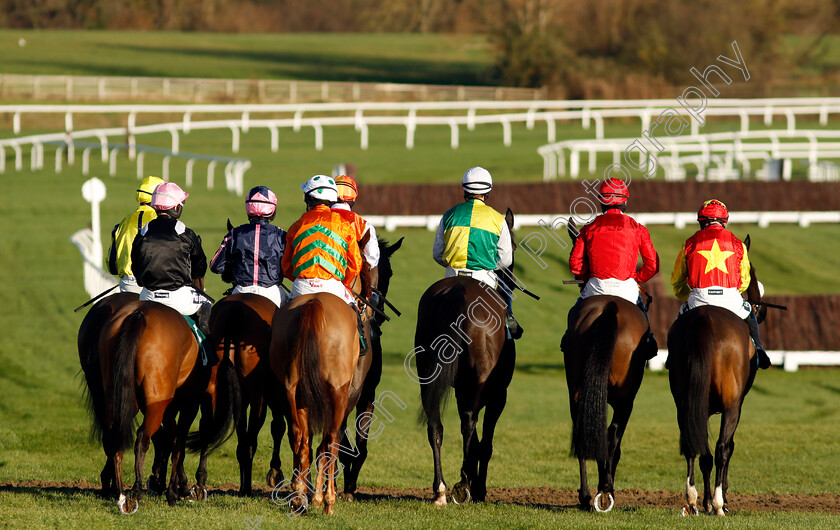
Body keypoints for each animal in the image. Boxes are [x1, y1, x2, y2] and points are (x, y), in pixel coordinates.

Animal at [83, 294, 240, 510]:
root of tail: (138, 314)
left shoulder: (171, 405)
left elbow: (170, 438)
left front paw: (171, 484)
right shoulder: (192, 401)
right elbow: (181, 441)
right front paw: (180, 490)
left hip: (116, 397)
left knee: (114, 434)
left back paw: (119, 491)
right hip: (156, 403)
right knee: (142, 437)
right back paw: (136, 491)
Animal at [416, 206, 520, 504]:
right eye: (513, 247)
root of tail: (457, 292)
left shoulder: (462, 389)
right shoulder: (497, 394)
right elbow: (484, 442)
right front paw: (479, 487)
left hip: (427, 376)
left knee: (435, 427)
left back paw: (440, 489)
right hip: (480, 381)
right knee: (468, 423)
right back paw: (462, 484)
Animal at [560, 294, 652, 510]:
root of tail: (610, 307)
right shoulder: (625, 403)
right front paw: (606, 486)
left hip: (576, 392)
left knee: (583, 434)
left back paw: (585, 495)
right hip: (625, 401)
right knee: (611, 436)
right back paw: (605, 490)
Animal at [668, 236, 768, 516]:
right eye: (752, 272)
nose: (759, 308)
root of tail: (704, 319)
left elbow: (703, 451)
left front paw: (704, 501)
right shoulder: (735, 405)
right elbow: (728, 447)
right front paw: (718, 500)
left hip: (684, 400)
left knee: (693, 444)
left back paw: (692, 500)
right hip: (731, 404)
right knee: (722, 448)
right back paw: (720, 504)